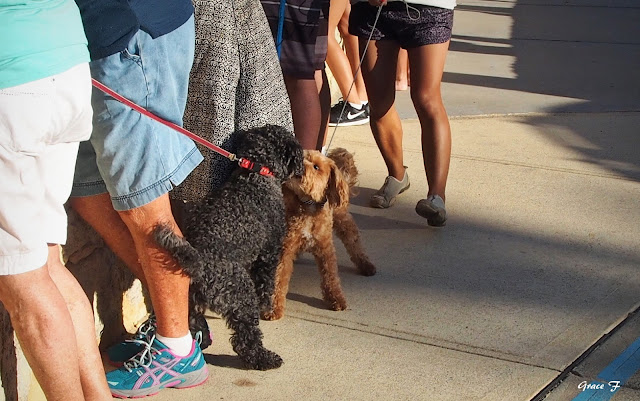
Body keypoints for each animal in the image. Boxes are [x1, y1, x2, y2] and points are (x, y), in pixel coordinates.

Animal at [154, 125, 304, 370]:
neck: (255, 173)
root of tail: (199, 262)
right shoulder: (269, 253)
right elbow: (266, 284)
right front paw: (267, 306)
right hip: (241, 294)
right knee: (245, 338)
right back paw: (264, 358)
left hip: (191, 301)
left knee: (193, 324)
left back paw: (202, 343)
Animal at [262, 147, 376, 321]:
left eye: (316, 167)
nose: (299, 164)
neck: (308, 205)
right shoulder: (285, 249)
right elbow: (279, 278)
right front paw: (274, 308)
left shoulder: (325, 247)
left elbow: (331, 275)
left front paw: (336, 299)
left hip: (343, 220)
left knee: (354, 242)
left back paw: (366, 265)